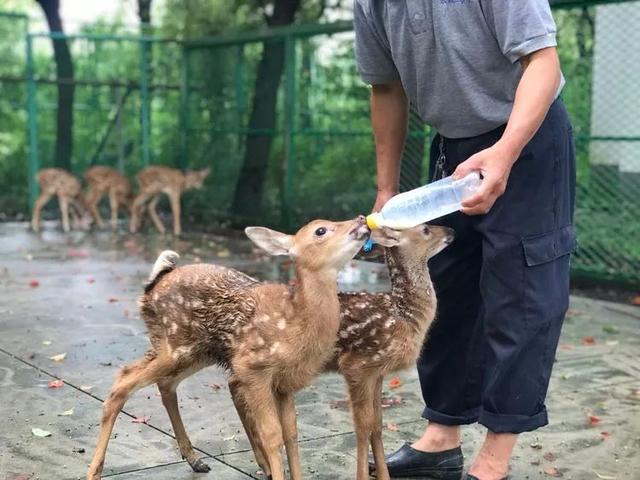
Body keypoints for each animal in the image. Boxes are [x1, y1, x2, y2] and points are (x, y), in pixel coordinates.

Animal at [87, 215, 372, 480]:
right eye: (320, 230)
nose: (361, 219)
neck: (295, 323)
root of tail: (152, 287)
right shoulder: (253, 367)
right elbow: (273, 435)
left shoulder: (284, 382)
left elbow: (291, 434)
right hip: (176, 345)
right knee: (123, 382)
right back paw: (94, 471)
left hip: (194, 351)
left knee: (164, 384)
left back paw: (195, 460)